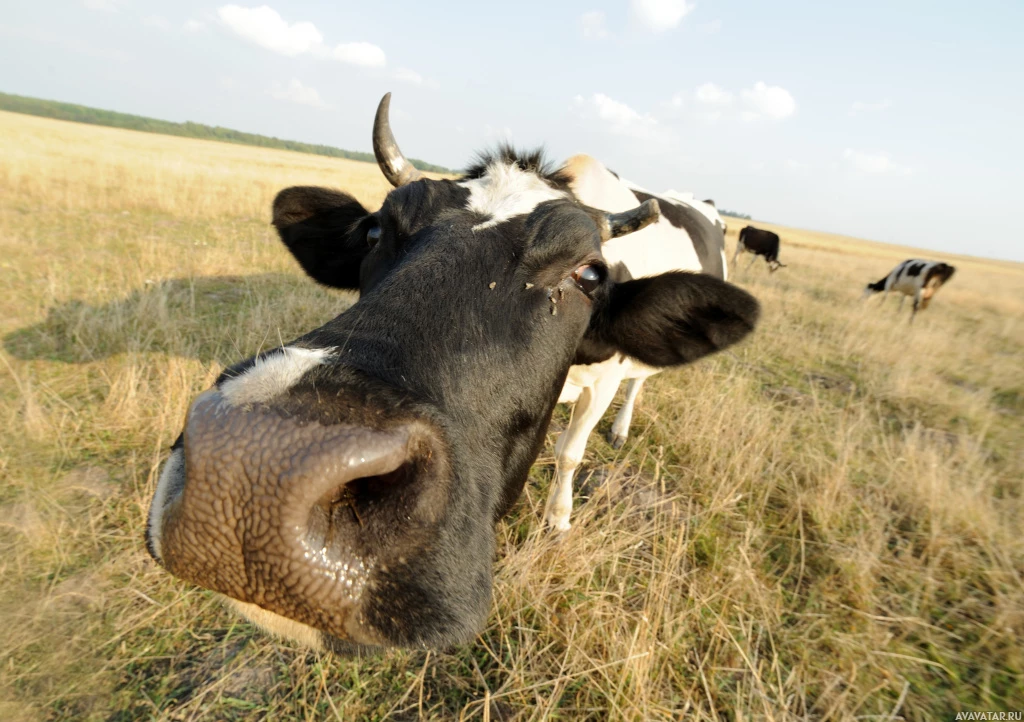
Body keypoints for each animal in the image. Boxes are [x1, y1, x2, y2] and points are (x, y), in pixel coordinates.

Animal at [544, 178, 737, 532]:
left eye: (586, 276)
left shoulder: (603, 384)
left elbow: (569, 453)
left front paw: (558, 517)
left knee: (635, 384)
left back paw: (620, 430)